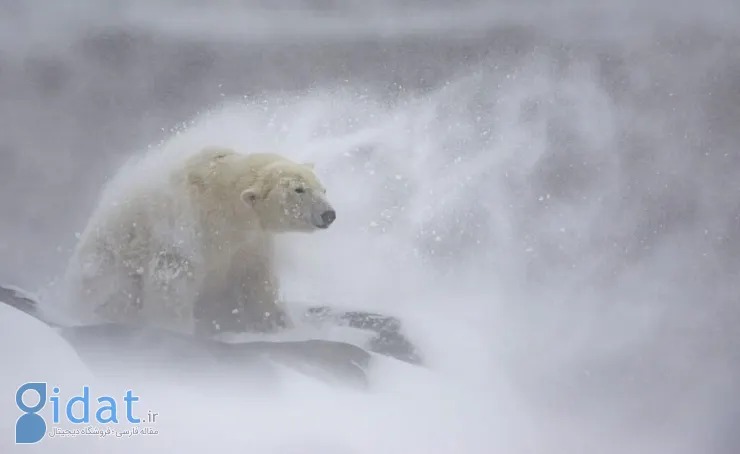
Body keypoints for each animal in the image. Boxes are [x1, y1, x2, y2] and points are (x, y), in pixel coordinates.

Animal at [63, 147, 336, 336]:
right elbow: (173, 279)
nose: (329, 214)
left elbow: (256, 279)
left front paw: (276, 324)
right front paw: (175, 329)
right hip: (109, 258)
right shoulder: (186, 229)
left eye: (322, 189)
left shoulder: (250, 242)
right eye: (299, 190)